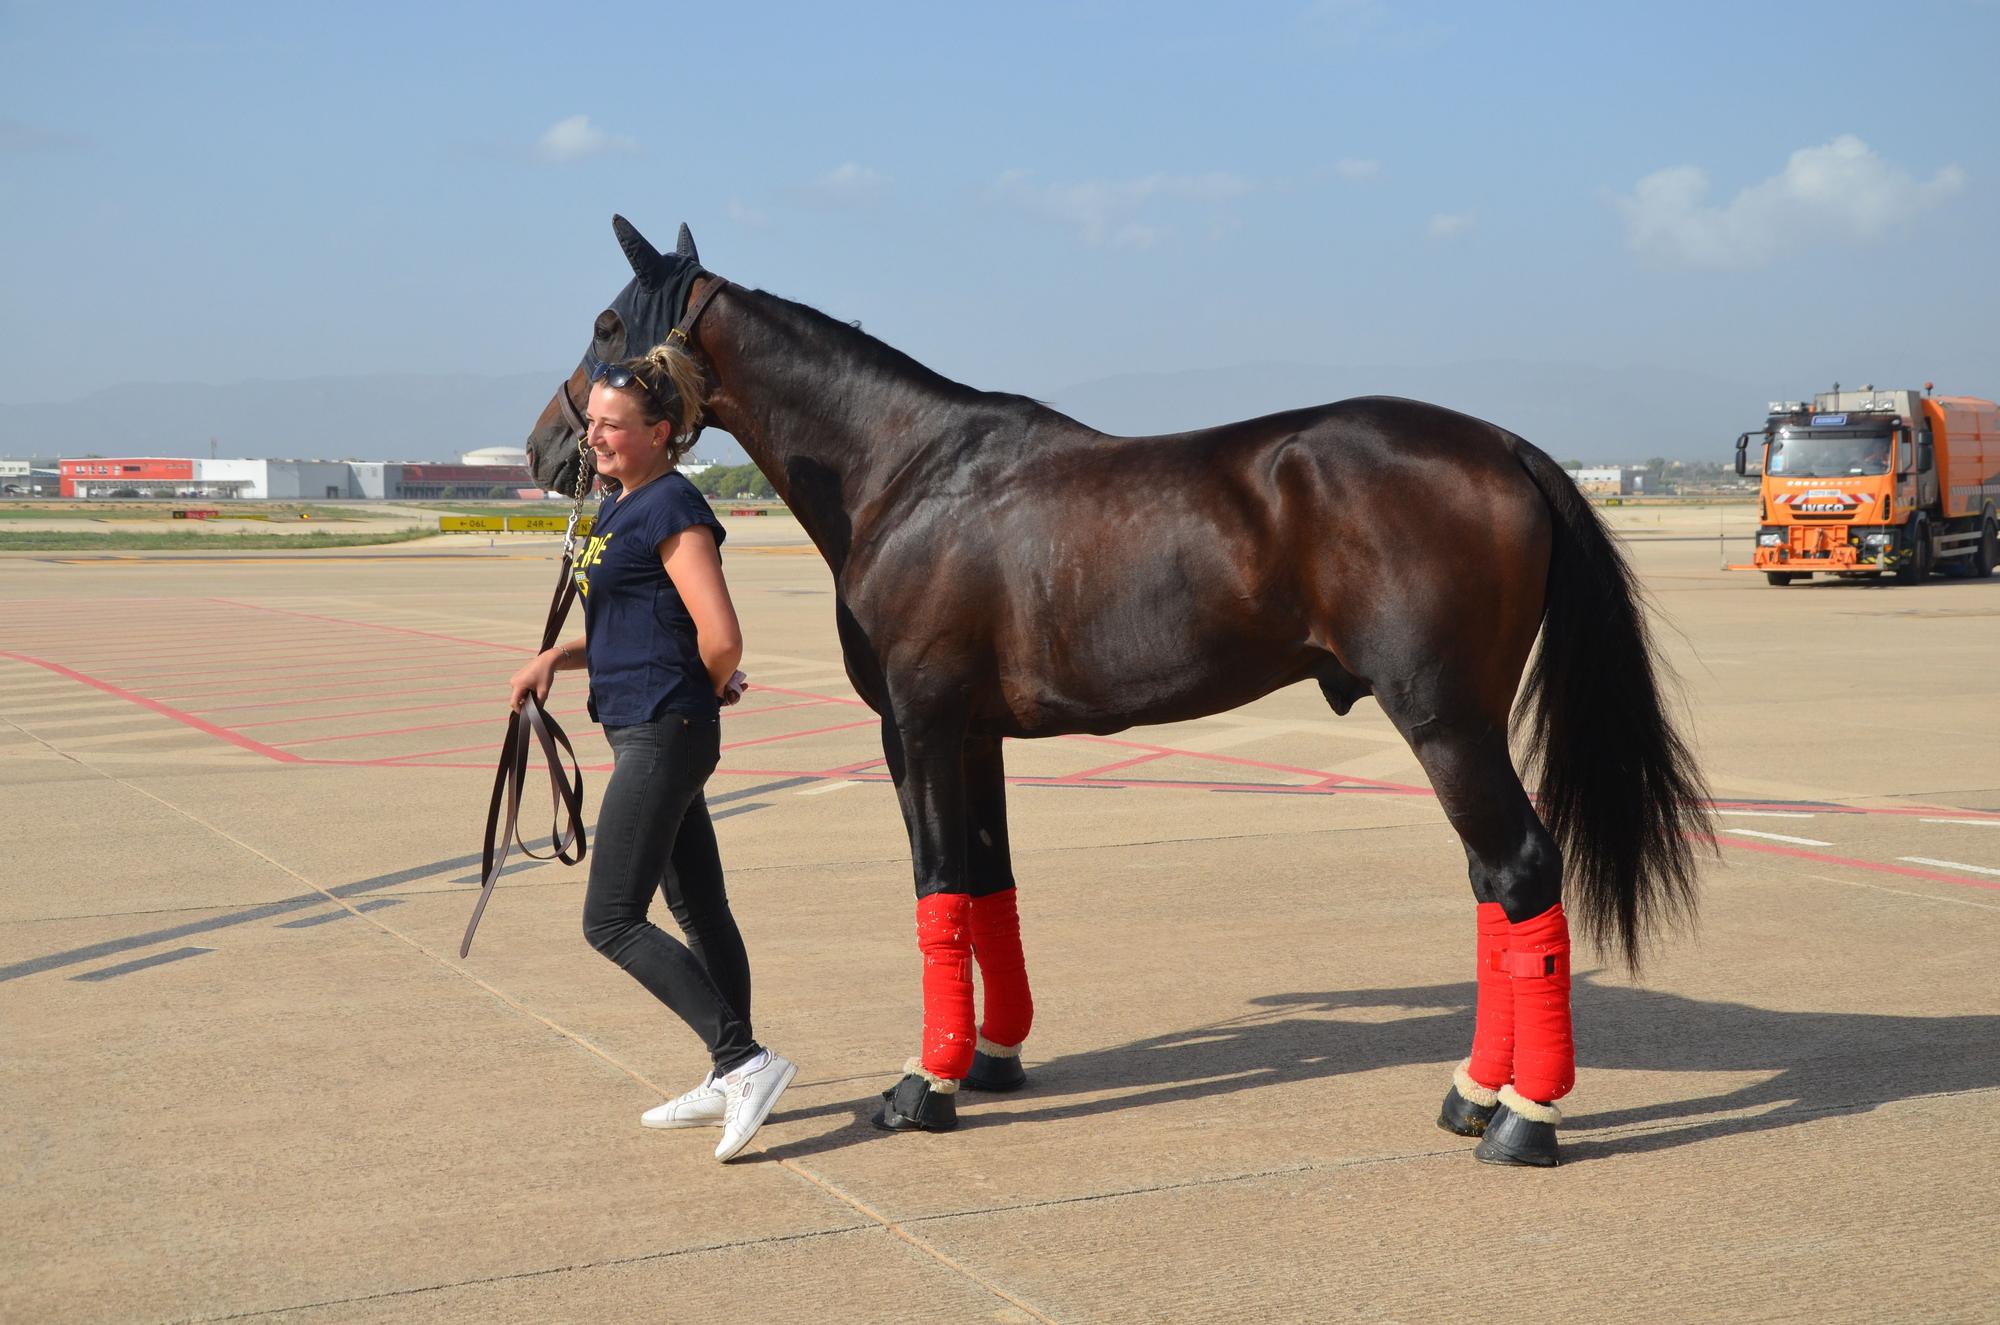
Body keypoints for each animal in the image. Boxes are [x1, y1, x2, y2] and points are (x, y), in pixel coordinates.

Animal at [524, 220, 1712, 1176]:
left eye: (606, 321)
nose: (547, 447)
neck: (906, 474)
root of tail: (1505, 447)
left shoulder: (919, 724)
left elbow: (937, 886)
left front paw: (925, 1085)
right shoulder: (976, 736)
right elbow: (988, 888)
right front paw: (992, 1056)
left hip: (1444, 721)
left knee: (1519, 872)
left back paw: (1523, 1118)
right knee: (1490, 885)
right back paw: (1473, 1091)